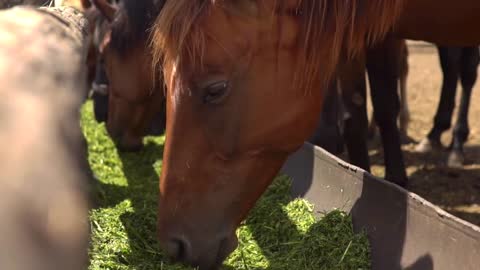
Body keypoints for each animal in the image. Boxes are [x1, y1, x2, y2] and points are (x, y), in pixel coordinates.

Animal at [150, 1, 480, 268]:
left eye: (216, 89)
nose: (174, 245)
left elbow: (386, 106)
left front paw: (396, 182)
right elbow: (359, 110)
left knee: (461, 71)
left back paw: (452, 143)